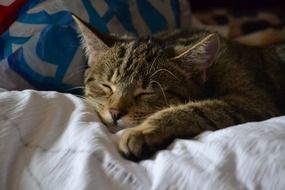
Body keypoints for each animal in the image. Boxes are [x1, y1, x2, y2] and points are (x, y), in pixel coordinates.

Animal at [70, 15, 284, 160]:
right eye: (106, 85)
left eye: (146, 92)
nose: (115, 112)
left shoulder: (255, 103)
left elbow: (198, 109)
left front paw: (143, 131)